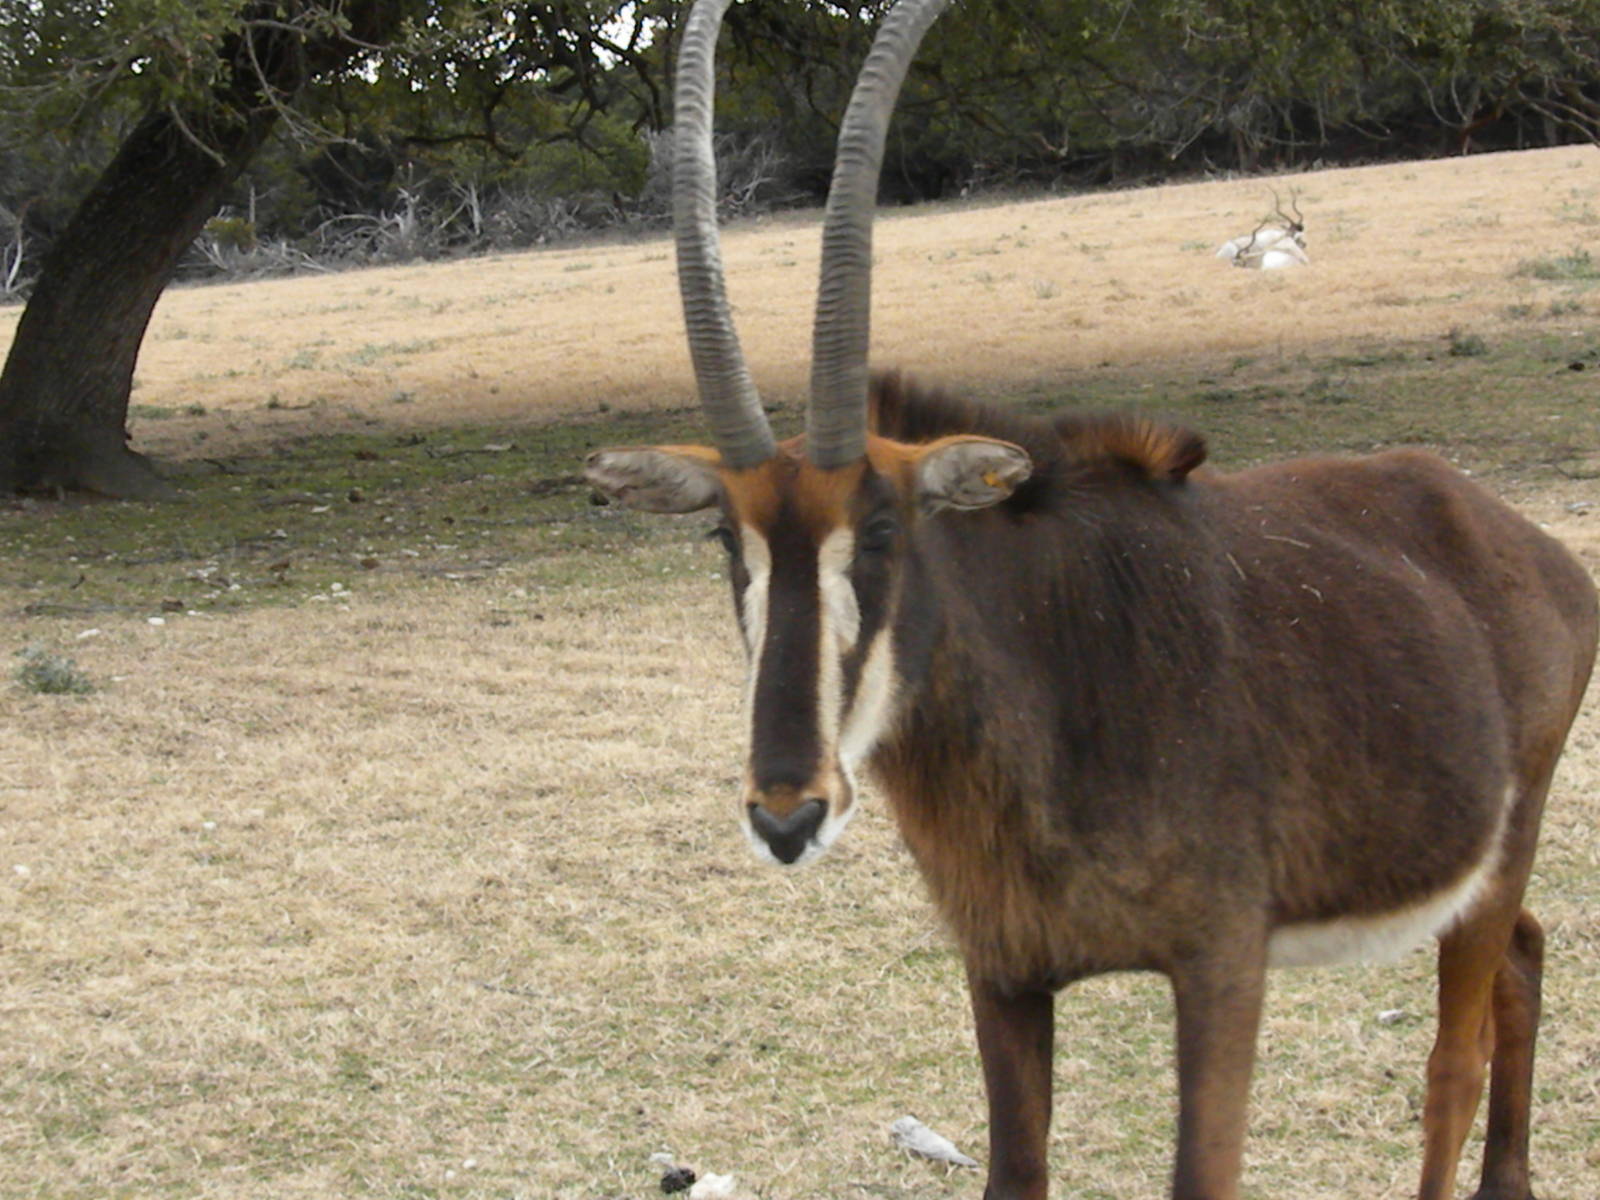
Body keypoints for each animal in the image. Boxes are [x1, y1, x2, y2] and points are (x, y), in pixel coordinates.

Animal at [584, 2, 1599, 1197]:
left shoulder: (1220, 966)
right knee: (1524, 957)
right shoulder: (1005, 975)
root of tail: (1514, 538)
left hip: (1503, 843)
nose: (788, 814)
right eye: (724, 539)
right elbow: (1013, 1172)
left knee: (1455, 1059)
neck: (1059, 674)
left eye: (883, 527)